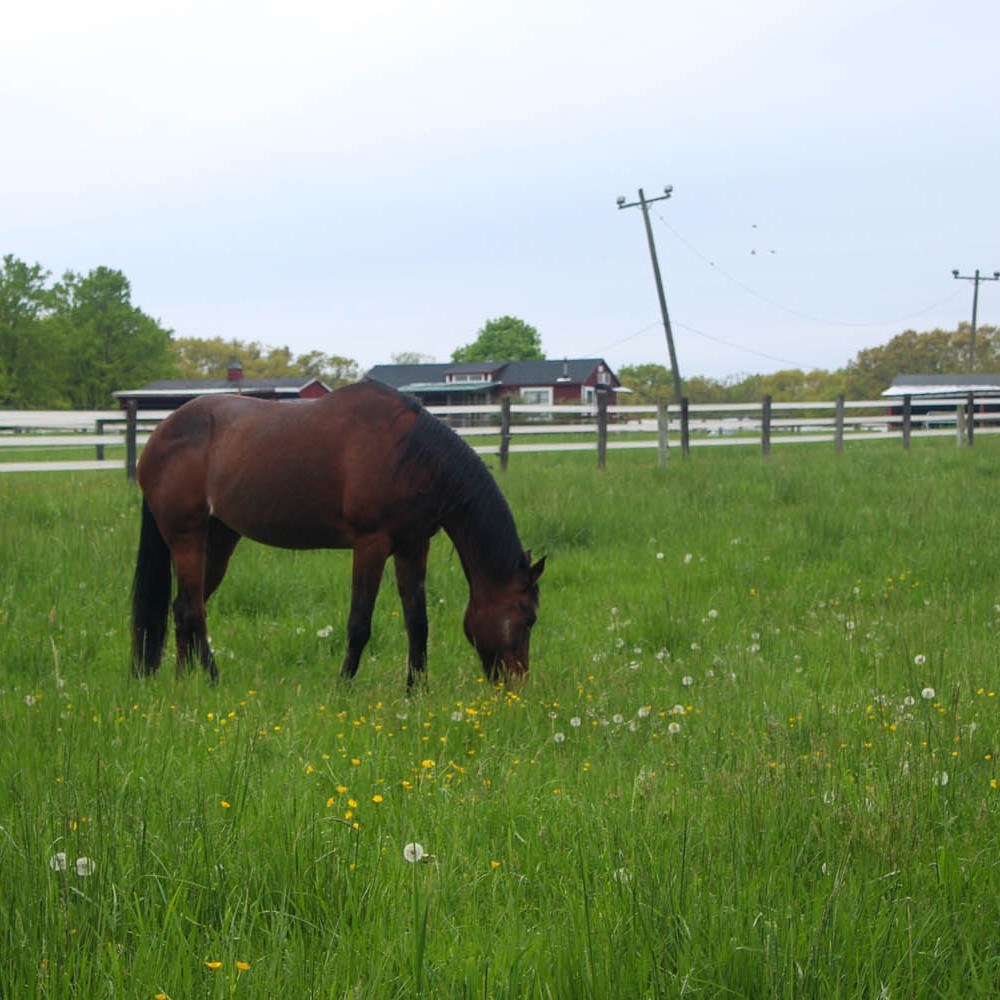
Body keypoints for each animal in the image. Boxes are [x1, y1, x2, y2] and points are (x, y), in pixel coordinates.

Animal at [130, 379, 544, 691]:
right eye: (528, 618)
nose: (517, 688)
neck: (410, 455)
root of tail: (158, 437)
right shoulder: (370, 545)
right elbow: (359, 623)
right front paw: (343, 686)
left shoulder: (413, 546)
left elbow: (418, 623)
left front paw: (416, 691)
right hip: (187, 537)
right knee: (195, 610)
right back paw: (214, 679)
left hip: (218, 539)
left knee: (183, 607)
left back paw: (185, 683)